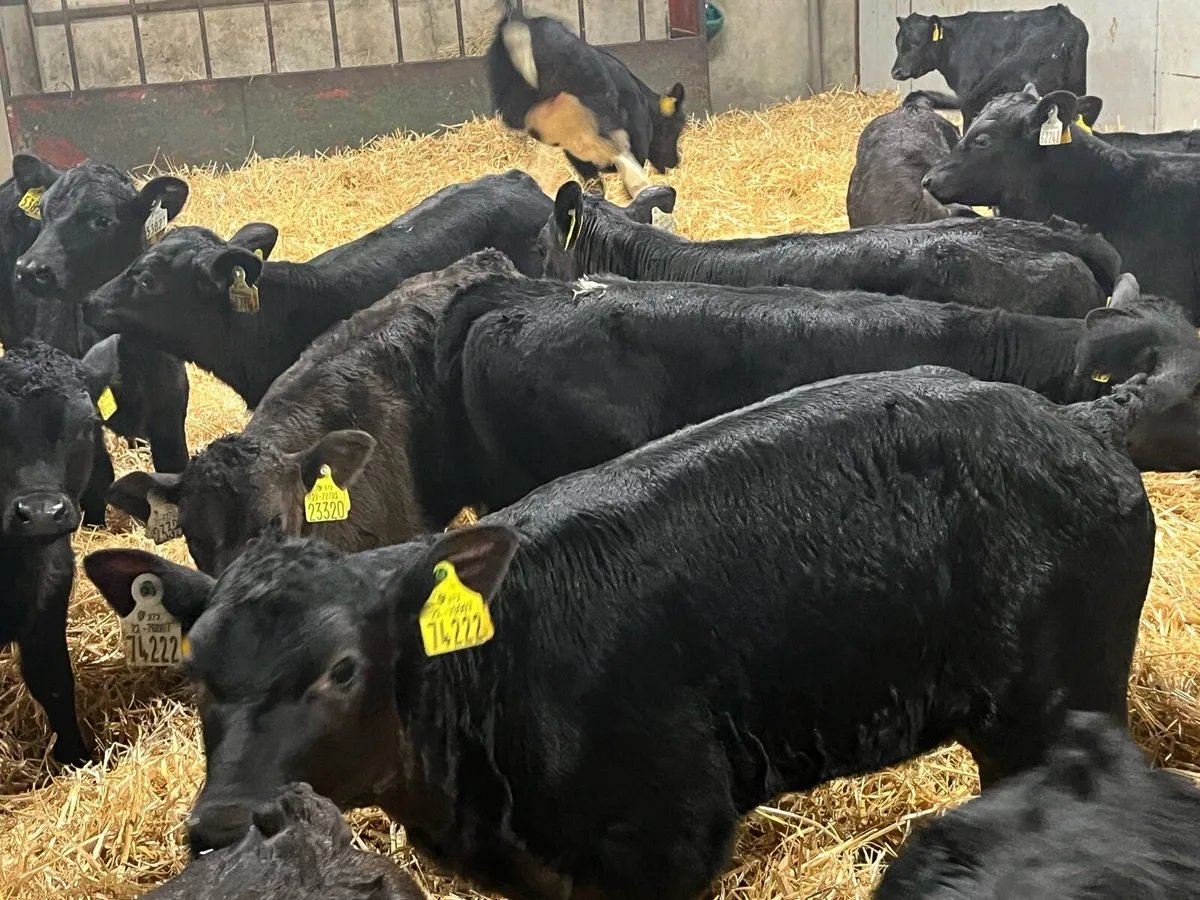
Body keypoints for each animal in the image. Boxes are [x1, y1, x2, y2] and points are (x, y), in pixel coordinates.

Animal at [5, 155, 193, 526]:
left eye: (102, 220)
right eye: (44, 212)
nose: (29, 268)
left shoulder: (171, 406)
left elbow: (173, 467)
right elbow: (95, 479)